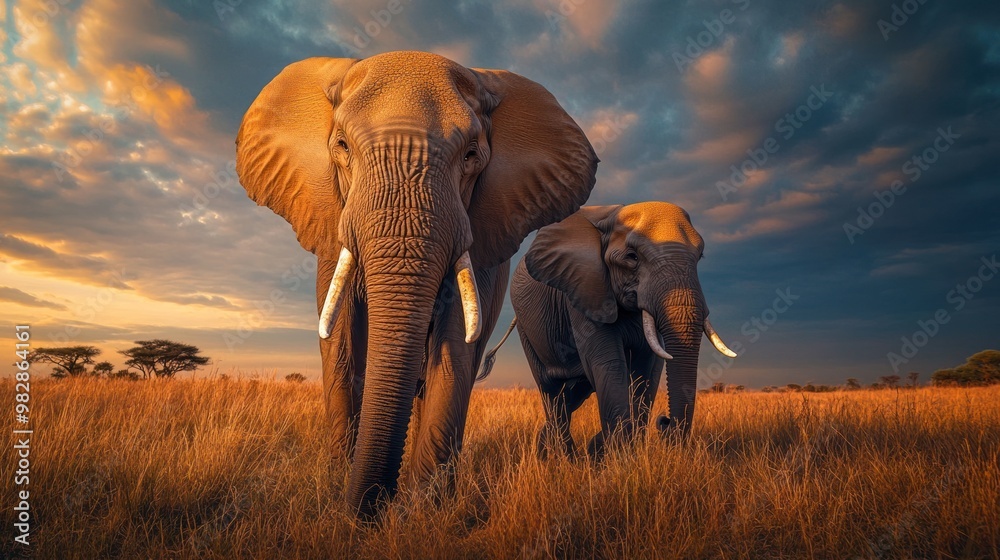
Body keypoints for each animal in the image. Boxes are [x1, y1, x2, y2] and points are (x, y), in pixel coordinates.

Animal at [235, 51, 598, 518]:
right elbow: (340, 345)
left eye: (472, 154)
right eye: (342, 147)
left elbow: (454, 348)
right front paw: (339, 487)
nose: (373, 510)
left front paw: (424, 510)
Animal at [479, 202, 736, 458]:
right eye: (632, 257)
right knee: (552, 392)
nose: (664, 421)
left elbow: (646, 369)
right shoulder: (584, 288)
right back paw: (562, 457)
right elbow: (608, 363)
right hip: (527, 328)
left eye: (700, 257)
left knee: (573, 393)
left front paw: (615, 450)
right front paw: (618, 456)